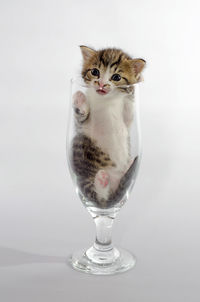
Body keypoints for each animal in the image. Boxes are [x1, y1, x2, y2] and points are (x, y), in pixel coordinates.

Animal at [70, 46, 145, 208]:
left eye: (116, 77)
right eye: (95, 72)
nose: (101, 84)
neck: (106, 102)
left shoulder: (126, 121)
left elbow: (129, 111)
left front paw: (134, 84)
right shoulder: (82, 126)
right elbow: (80, 118)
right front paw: (79, 99)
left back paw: (125, 167)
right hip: (84, 177)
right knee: (99, 198)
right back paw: (102, 179)